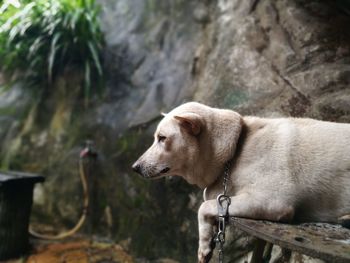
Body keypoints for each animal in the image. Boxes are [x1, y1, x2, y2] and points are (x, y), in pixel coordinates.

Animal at [131, 102, 350, 262]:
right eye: (156, 137)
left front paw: (203, 247)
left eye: (162, 138)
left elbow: (204, 206)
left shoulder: (274, 198)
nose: (135, 167)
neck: (236, 149)